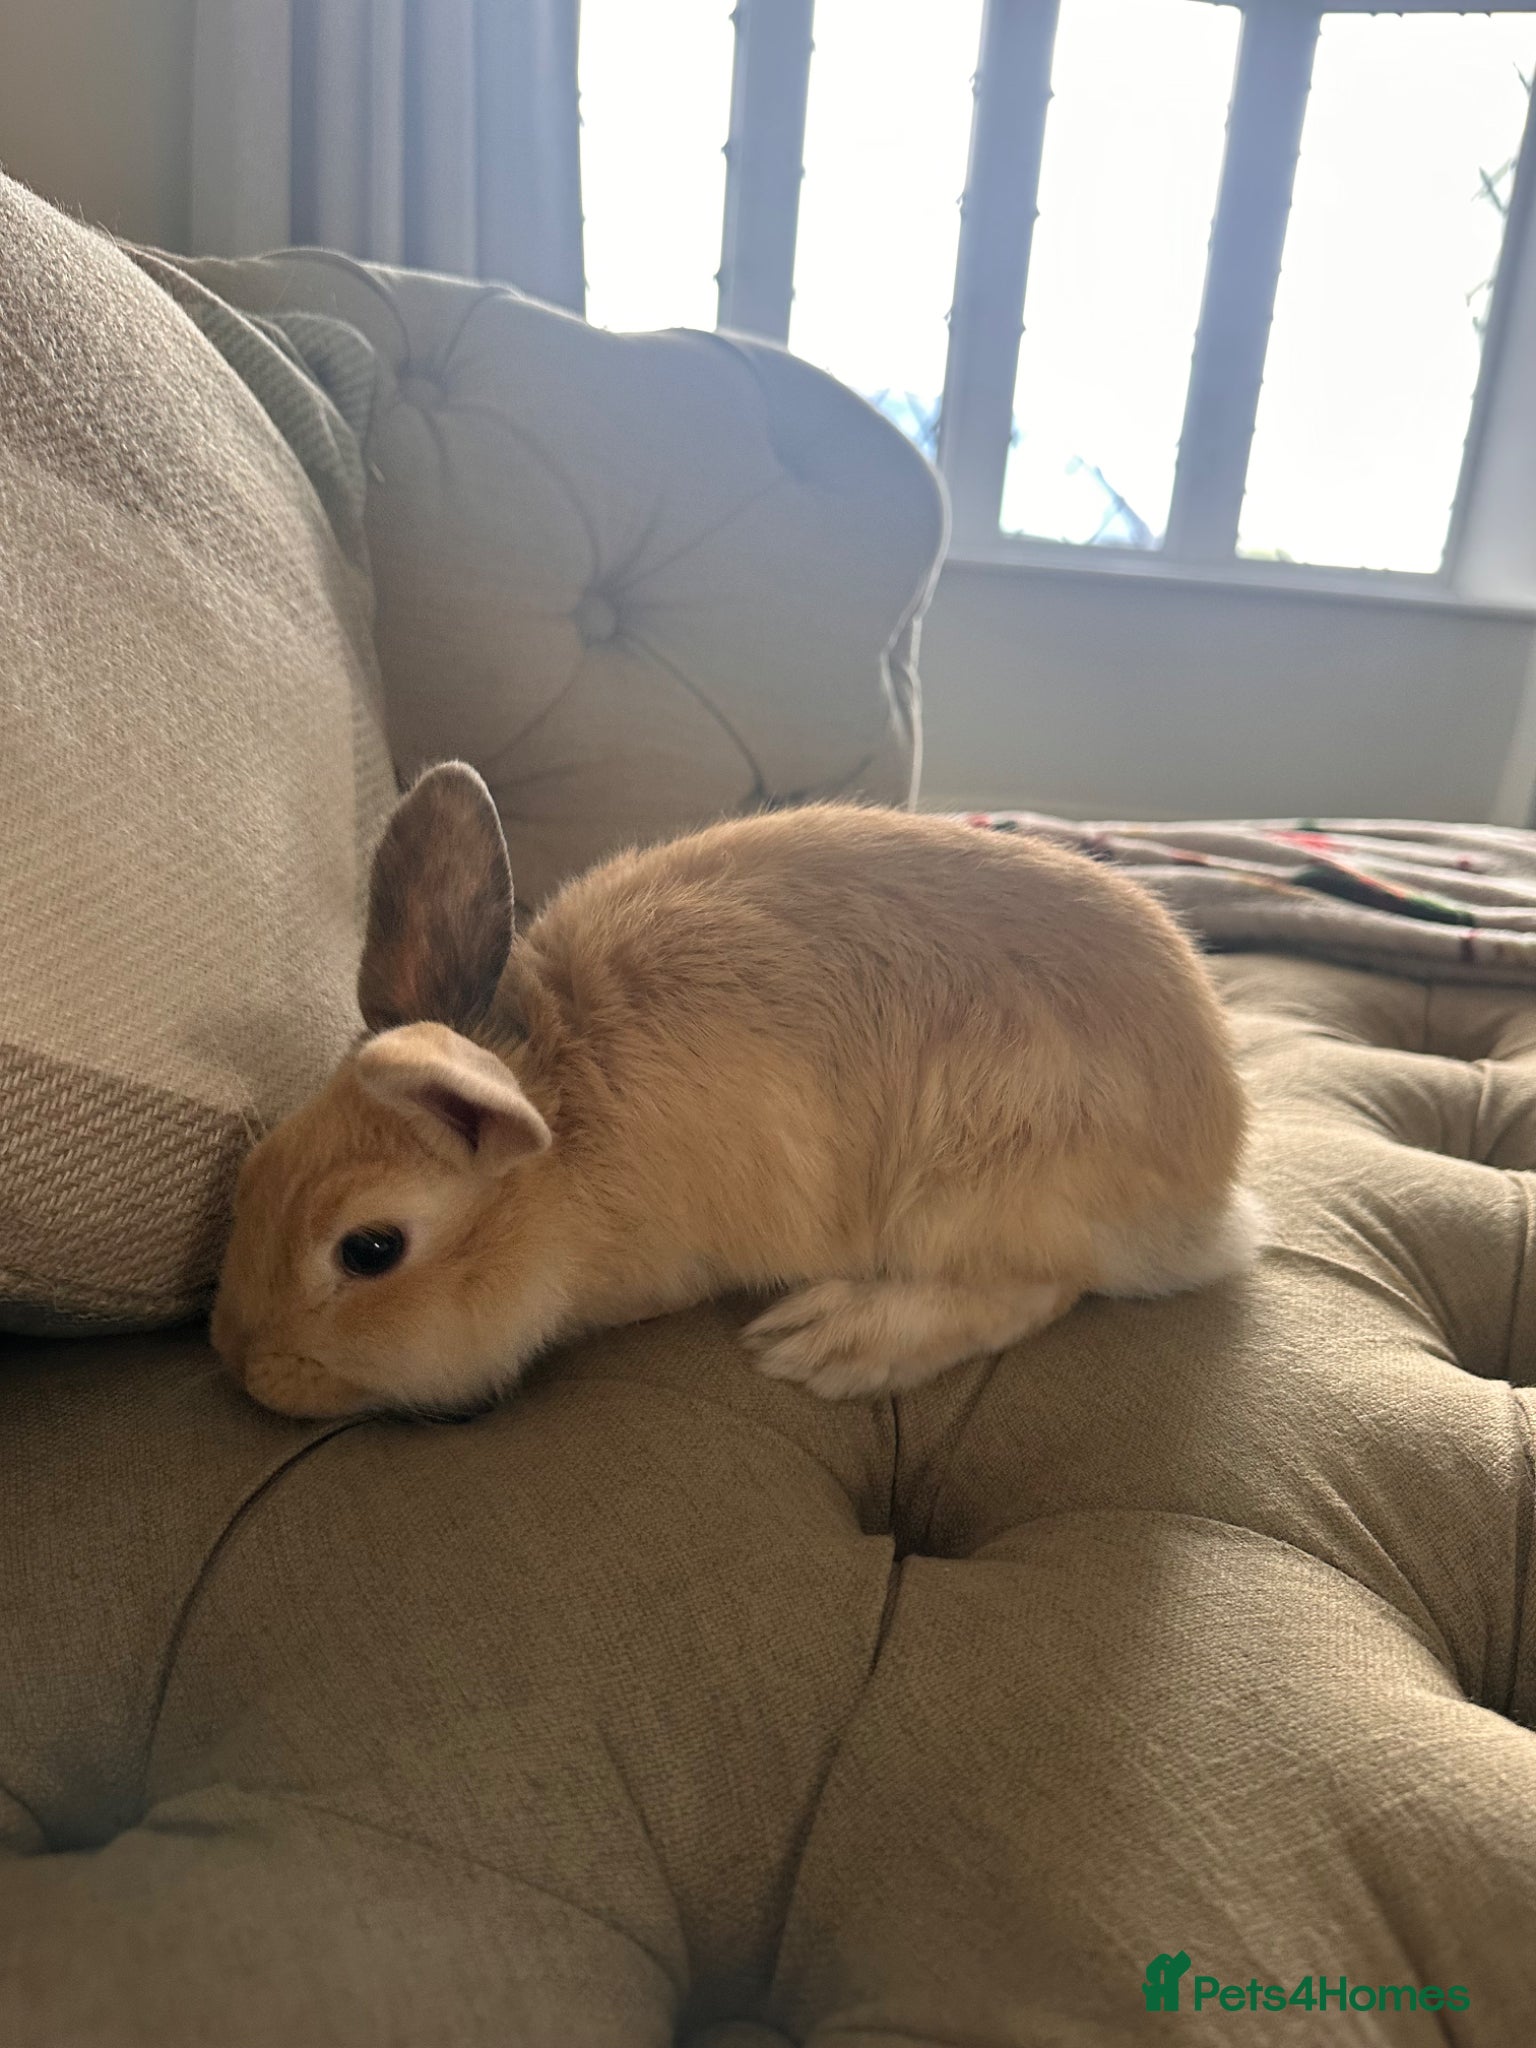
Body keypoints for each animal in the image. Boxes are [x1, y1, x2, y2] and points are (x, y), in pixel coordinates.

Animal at [210, 762, 1263, 1420]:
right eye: (253, 1173)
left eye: (370, 1250)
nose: (237, 1361)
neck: (562, 1146)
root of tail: (1215, 1185)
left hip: (982, 1185)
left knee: (1038, 1285)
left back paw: (831, 1341)